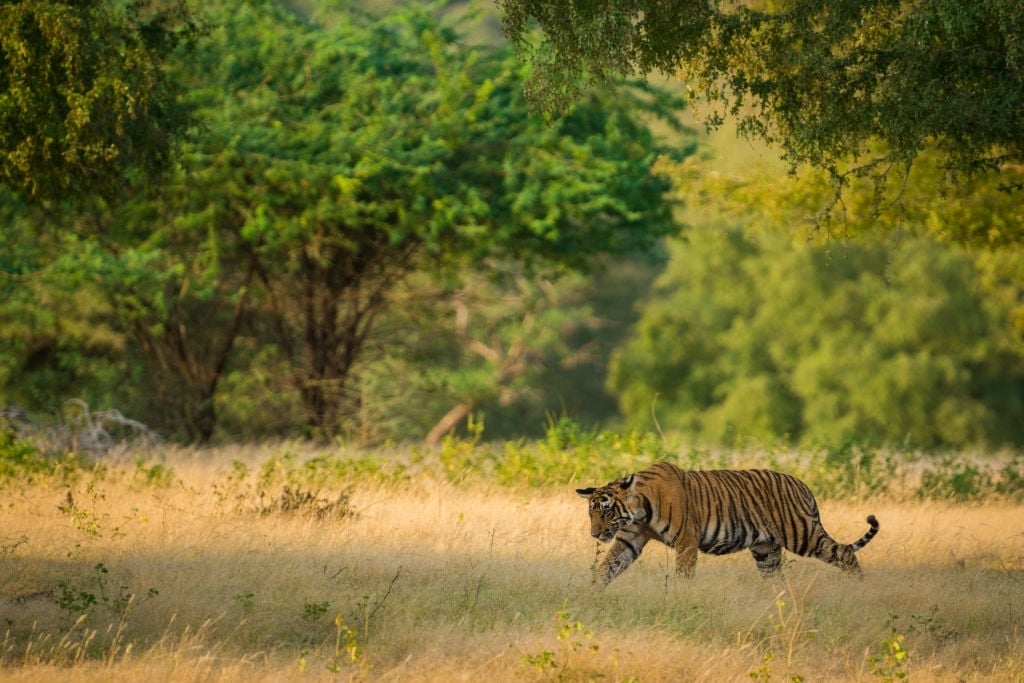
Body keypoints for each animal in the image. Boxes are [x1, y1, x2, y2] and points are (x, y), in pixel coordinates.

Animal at [576, 461, 879, 585]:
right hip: (766, 550)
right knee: (775, 578)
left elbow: (684, 574)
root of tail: (803, 485)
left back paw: (860, 587)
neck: (639, 510)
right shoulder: (629, 539)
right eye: (591, 513)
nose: (594, 534)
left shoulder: (687, 541)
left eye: (607, 512)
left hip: (802, 534)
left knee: (844, 552)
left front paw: (681, 596)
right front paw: (591, 593)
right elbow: (606, 568)